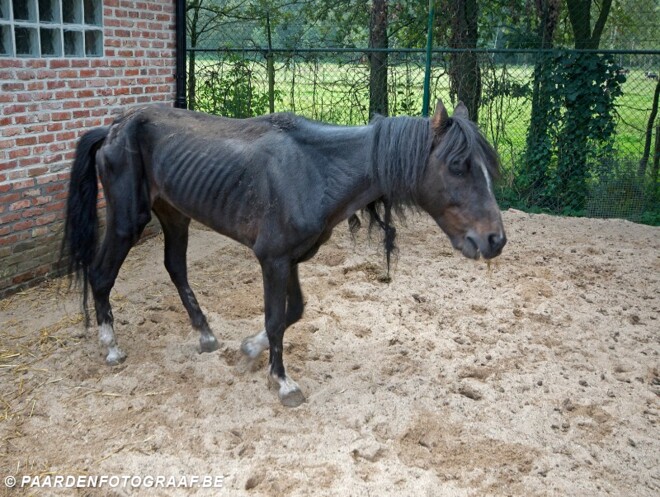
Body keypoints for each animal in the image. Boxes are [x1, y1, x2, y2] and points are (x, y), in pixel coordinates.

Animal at [62, 101, 506, 407]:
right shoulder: (272, 259)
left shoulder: (290, 259)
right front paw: (282, 382)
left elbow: (293, 313)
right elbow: (277, 319)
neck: (316, 169)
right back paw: (111, 346)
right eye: (457, 165)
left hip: (174, 215)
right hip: (127, 220)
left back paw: (205, 334)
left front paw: (249, 350)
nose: (495, 240)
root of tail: (114, 128)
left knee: (175, 268)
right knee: (101, 275)